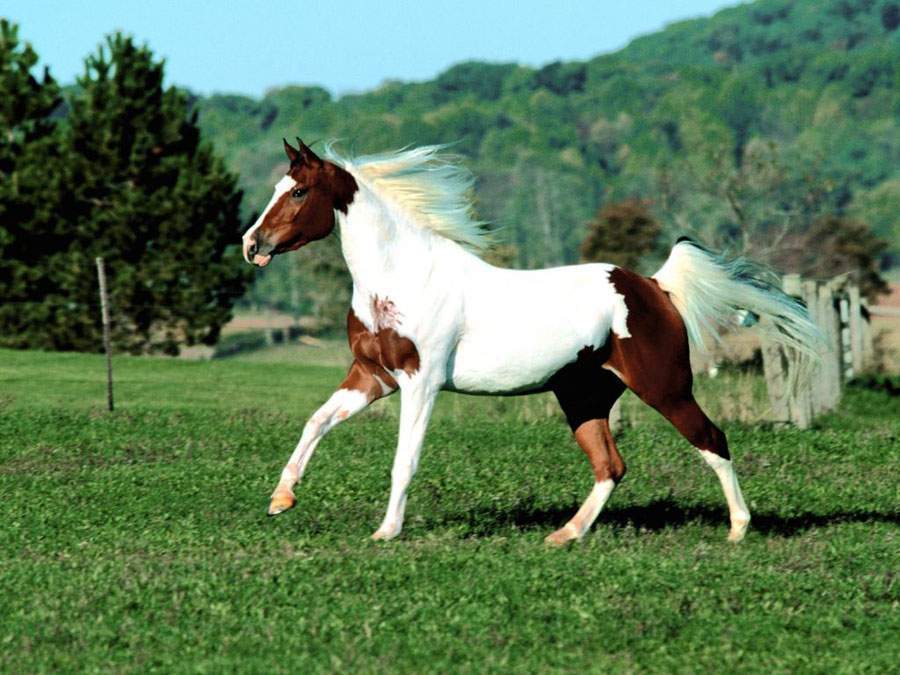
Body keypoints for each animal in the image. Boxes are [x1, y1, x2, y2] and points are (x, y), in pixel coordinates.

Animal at [242, 138, 821, 545]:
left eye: (297, 191)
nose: (252, 244)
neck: (403, 278)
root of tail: (656, 287)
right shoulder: (372, 376)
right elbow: (316, 421)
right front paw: (281, 499)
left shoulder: (420, 382)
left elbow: (404, 459)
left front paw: (386, 531)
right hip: (584, 396)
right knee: (611, 467)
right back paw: (564, 535)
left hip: (665, 388)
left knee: (712, 441)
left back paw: (739, 529)